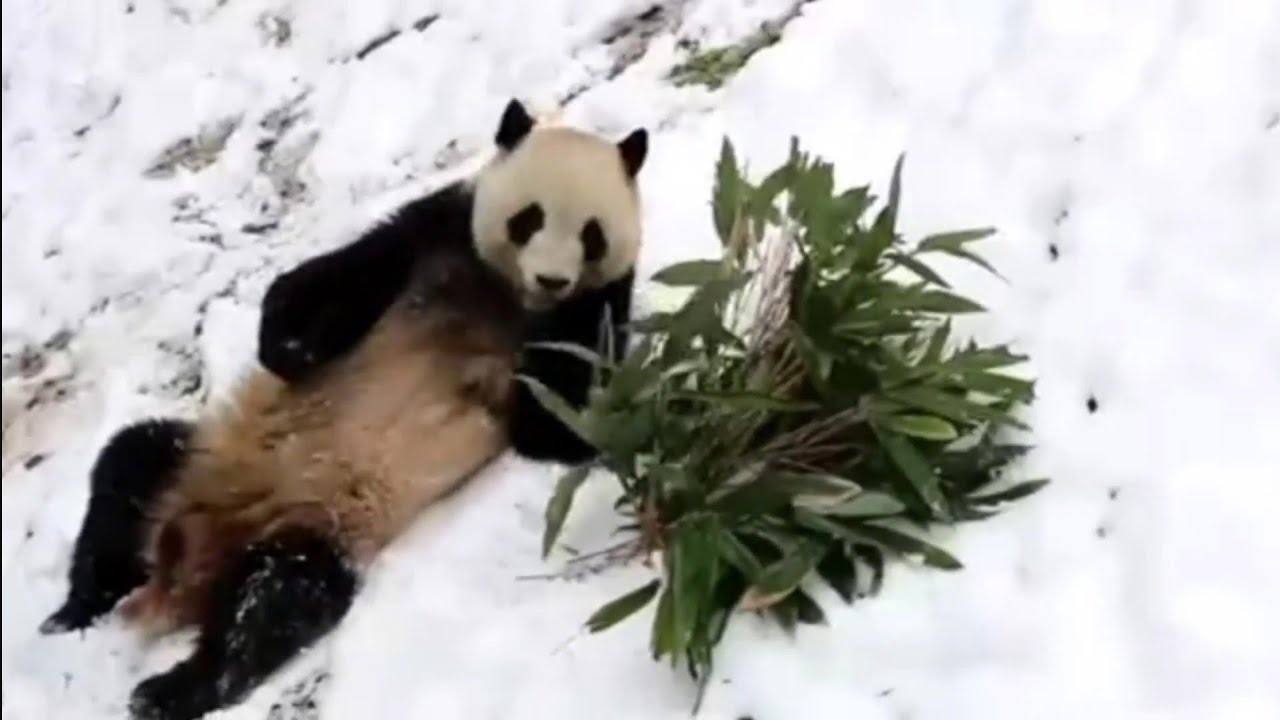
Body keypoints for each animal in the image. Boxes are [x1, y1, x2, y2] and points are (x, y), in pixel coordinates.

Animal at [37, 98, 647, 720]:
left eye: (592, 235)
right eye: (530, 219)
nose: (552, 278)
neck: (510, 295)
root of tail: (191, 562)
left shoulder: (589, 315)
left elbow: (558, 424)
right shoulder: (436, 235)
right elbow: (326, 283)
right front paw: (289, 349)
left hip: (324, 521)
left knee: (276, 599)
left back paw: (170, 687)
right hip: (197, 461)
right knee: (128, 470)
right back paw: (74, 613)